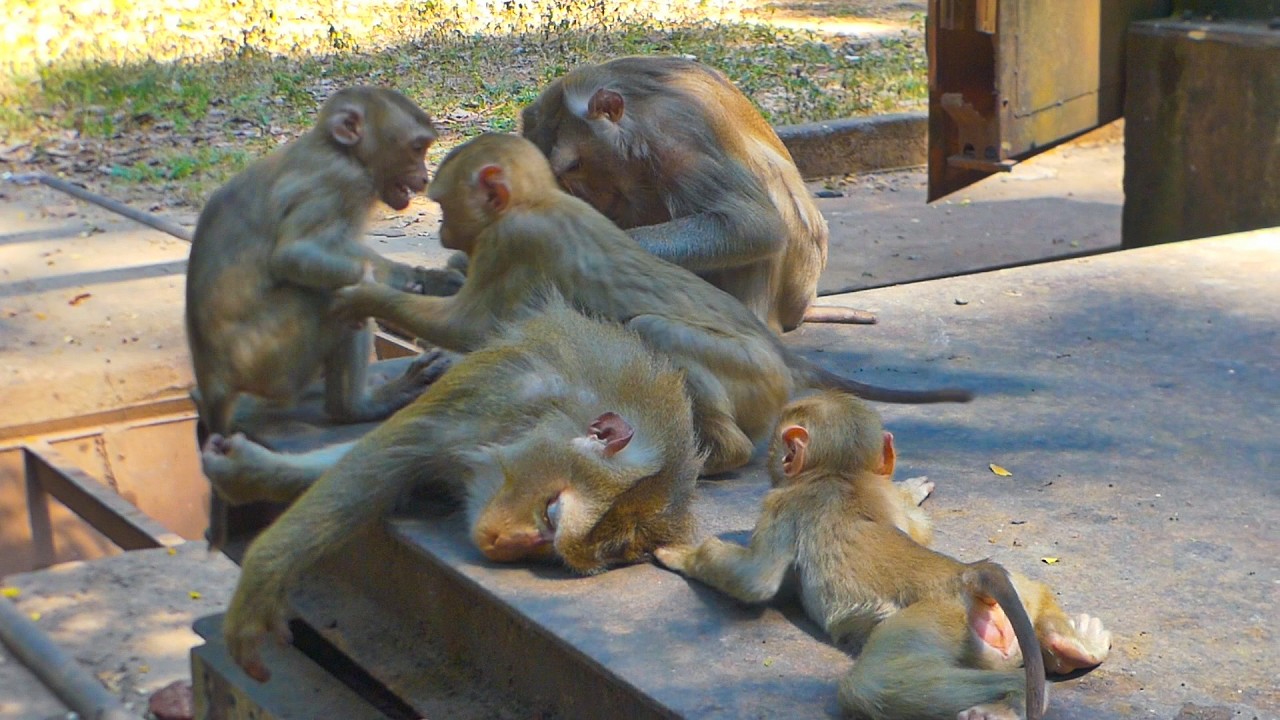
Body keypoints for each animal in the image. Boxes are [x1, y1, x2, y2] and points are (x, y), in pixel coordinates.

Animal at [211, 298, 702, 682]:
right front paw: (266, 569)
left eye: (547, 547)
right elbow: (386, 456)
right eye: (551, 514)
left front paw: (252, 472)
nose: (508, 543)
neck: (547, 412)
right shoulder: (495, 394)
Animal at [331, 133, 971, 479]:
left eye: (443, 204)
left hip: (754, 380)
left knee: (655, 330)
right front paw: (428, 278)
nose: (439, 229)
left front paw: (362, 293)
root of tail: (781, 357)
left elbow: (472, 325)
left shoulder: (514, 241)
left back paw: (719, 457)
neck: (536, 202)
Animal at [520, 55, 874, 333]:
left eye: (573, 165)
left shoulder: (678, 136)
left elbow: (753, 225)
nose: (584, 195)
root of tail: (802, 307)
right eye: (559, 176)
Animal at [655, 392, 1112, 720]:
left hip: (935, 619)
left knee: (869, 683)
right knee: (1032, 585)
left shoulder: (783, 503)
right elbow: (916, 527)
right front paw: (913, 491)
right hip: (1011, 594)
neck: (836, 473)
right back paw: (1077, 647)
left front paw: (683, 555)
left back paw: (1016, 695)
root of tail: (968, 577)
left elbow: (756, 581)